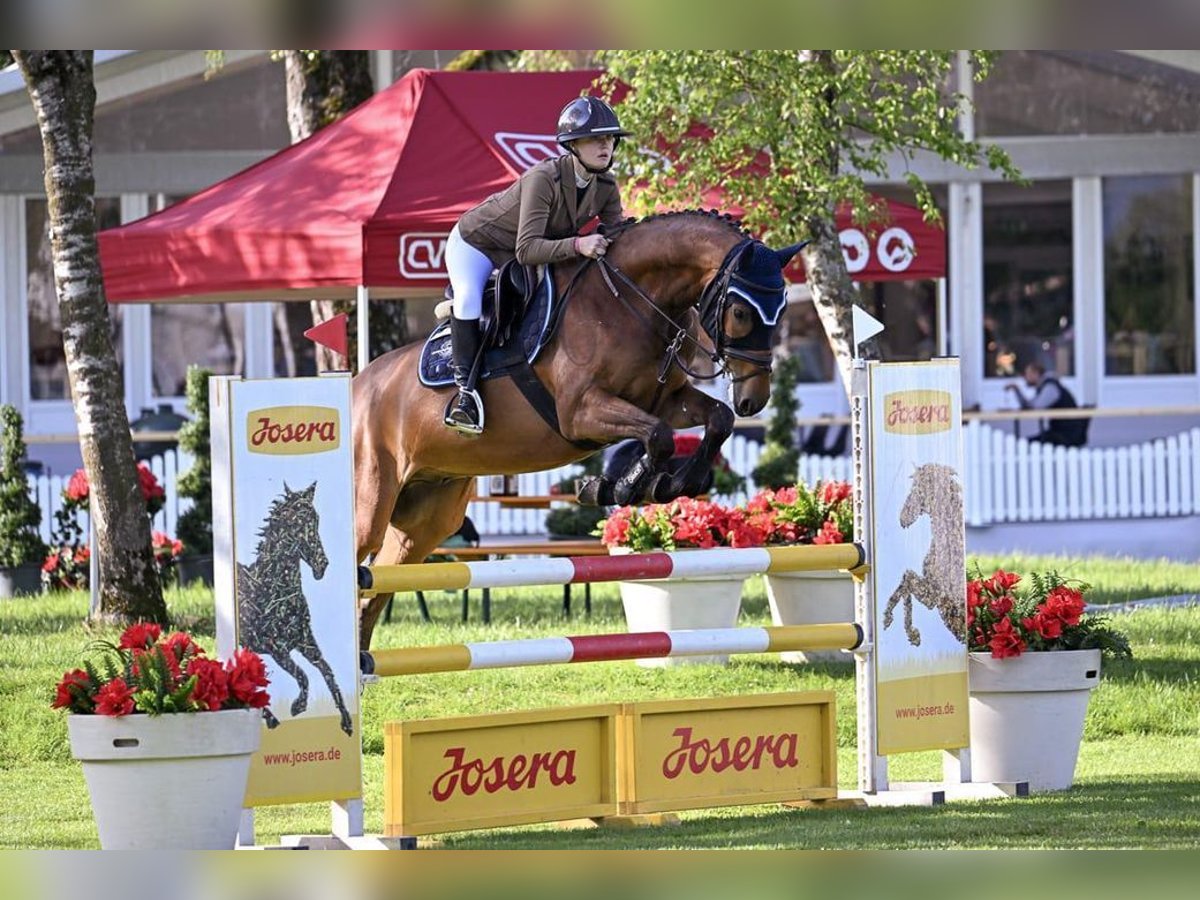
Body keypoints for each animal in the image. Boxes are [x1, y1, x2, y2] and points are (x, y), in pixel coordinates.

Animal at [355, 210, 806, 648]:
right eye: (742, 312)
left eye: (783, 309)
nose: (753, 399)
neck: (628, 301)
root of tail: (358, 385)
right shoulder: (579, 412)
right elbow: (657, 435)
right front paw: (617, 487)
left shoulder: (665, 400)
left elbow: (714, 421)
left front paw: (669, 484)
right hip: (372, 503)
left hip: (427, 519)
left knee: (374, 589)